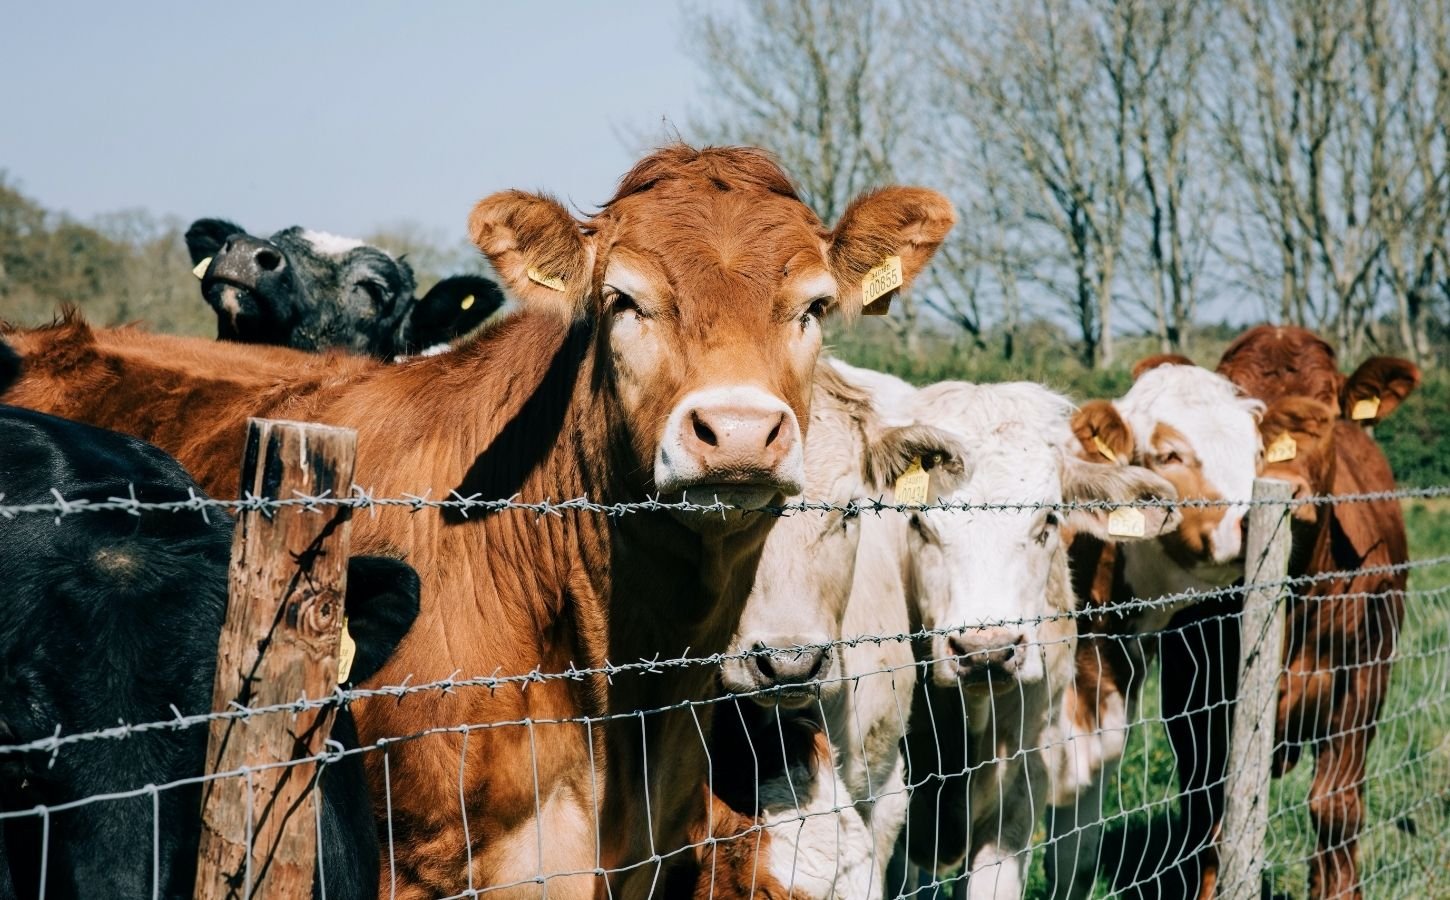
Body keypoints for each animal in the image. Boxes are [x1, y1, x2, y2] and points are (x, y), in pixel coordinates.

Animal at [1160, 326, 1421, 898]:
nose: (1288, 491)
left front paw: (1340, 891)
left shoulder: (1363, 680)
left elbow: (1335, 804)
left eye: (1325, 412)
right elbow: (1207, 815)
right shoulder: (1193, 697)